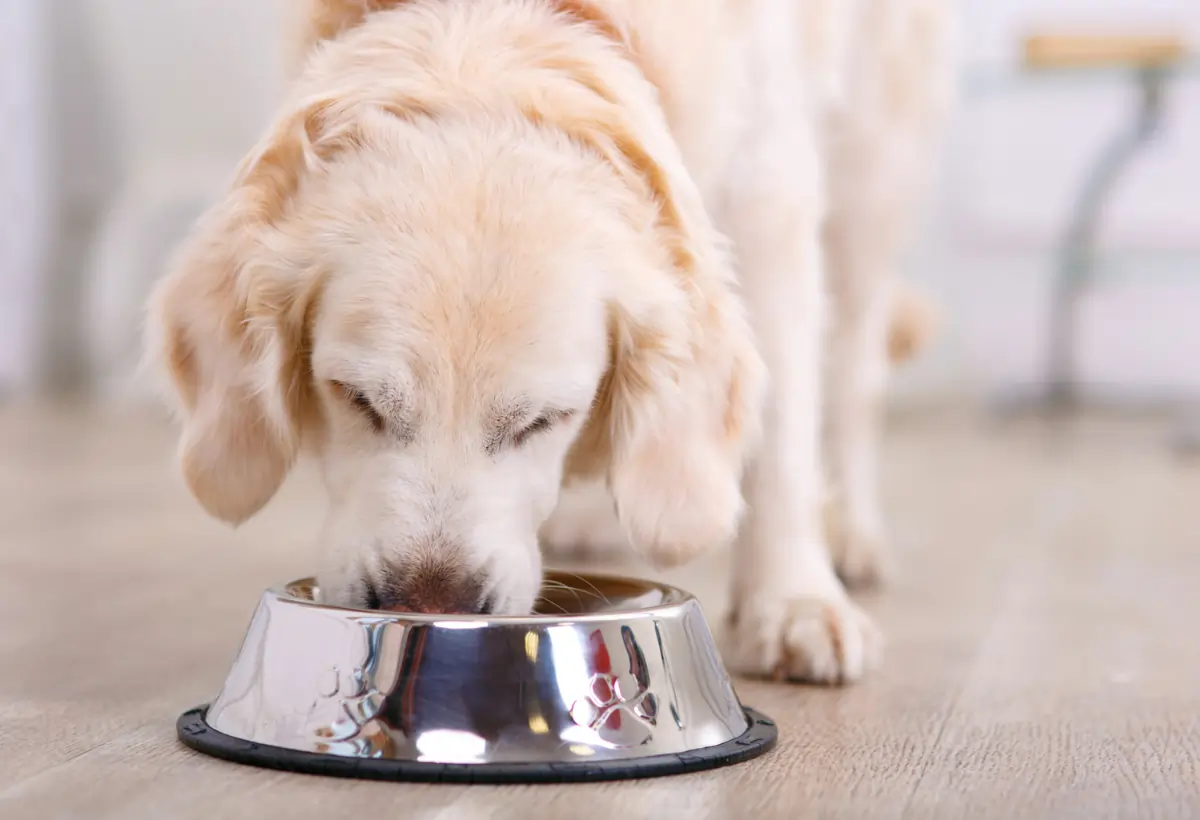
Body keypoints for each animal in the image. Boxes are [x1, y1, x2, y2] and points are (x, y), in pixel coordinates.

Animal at [147, 0, 955, 681]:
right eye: (356, 399)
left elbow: (782, 432)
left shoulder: (770, 194)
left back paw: (851, 535)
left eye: (544, 421)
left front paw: (792, 603)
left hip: (873, 168)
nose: (431, 606)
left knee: (853, 373)